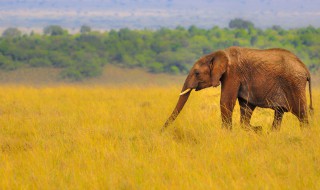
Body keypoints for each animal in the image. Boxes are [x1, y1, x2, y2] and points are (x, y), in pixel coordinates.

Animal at [162, 46, 312, 132]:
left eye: (197, 73)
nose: (161, 131)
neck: (219, 54)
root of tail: (306, 69)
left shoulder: (233, 73)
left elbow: (226, 101)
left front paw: (227, 133)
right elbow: (246, 105)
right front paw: (256, 129)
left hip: (295, 84)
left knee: (302, 114)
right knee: (279, 113)